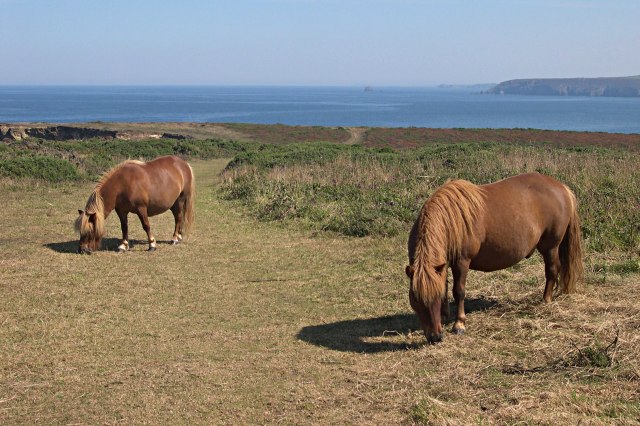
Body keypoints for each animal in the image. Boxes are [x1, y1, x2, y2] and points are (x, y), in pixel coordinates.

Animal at [408, 172, 584, 342]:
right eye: (416, 299)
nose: (435, 337)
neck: (450, 221)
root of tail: (562, 188)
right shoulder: (443, 265)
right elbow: (444, 286)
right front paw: (445, 316)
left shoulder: (461, 262)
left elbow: (458, 291)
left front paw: (459, 324)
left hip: (550, 247)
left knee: (552, 270)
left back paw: (546, 299)